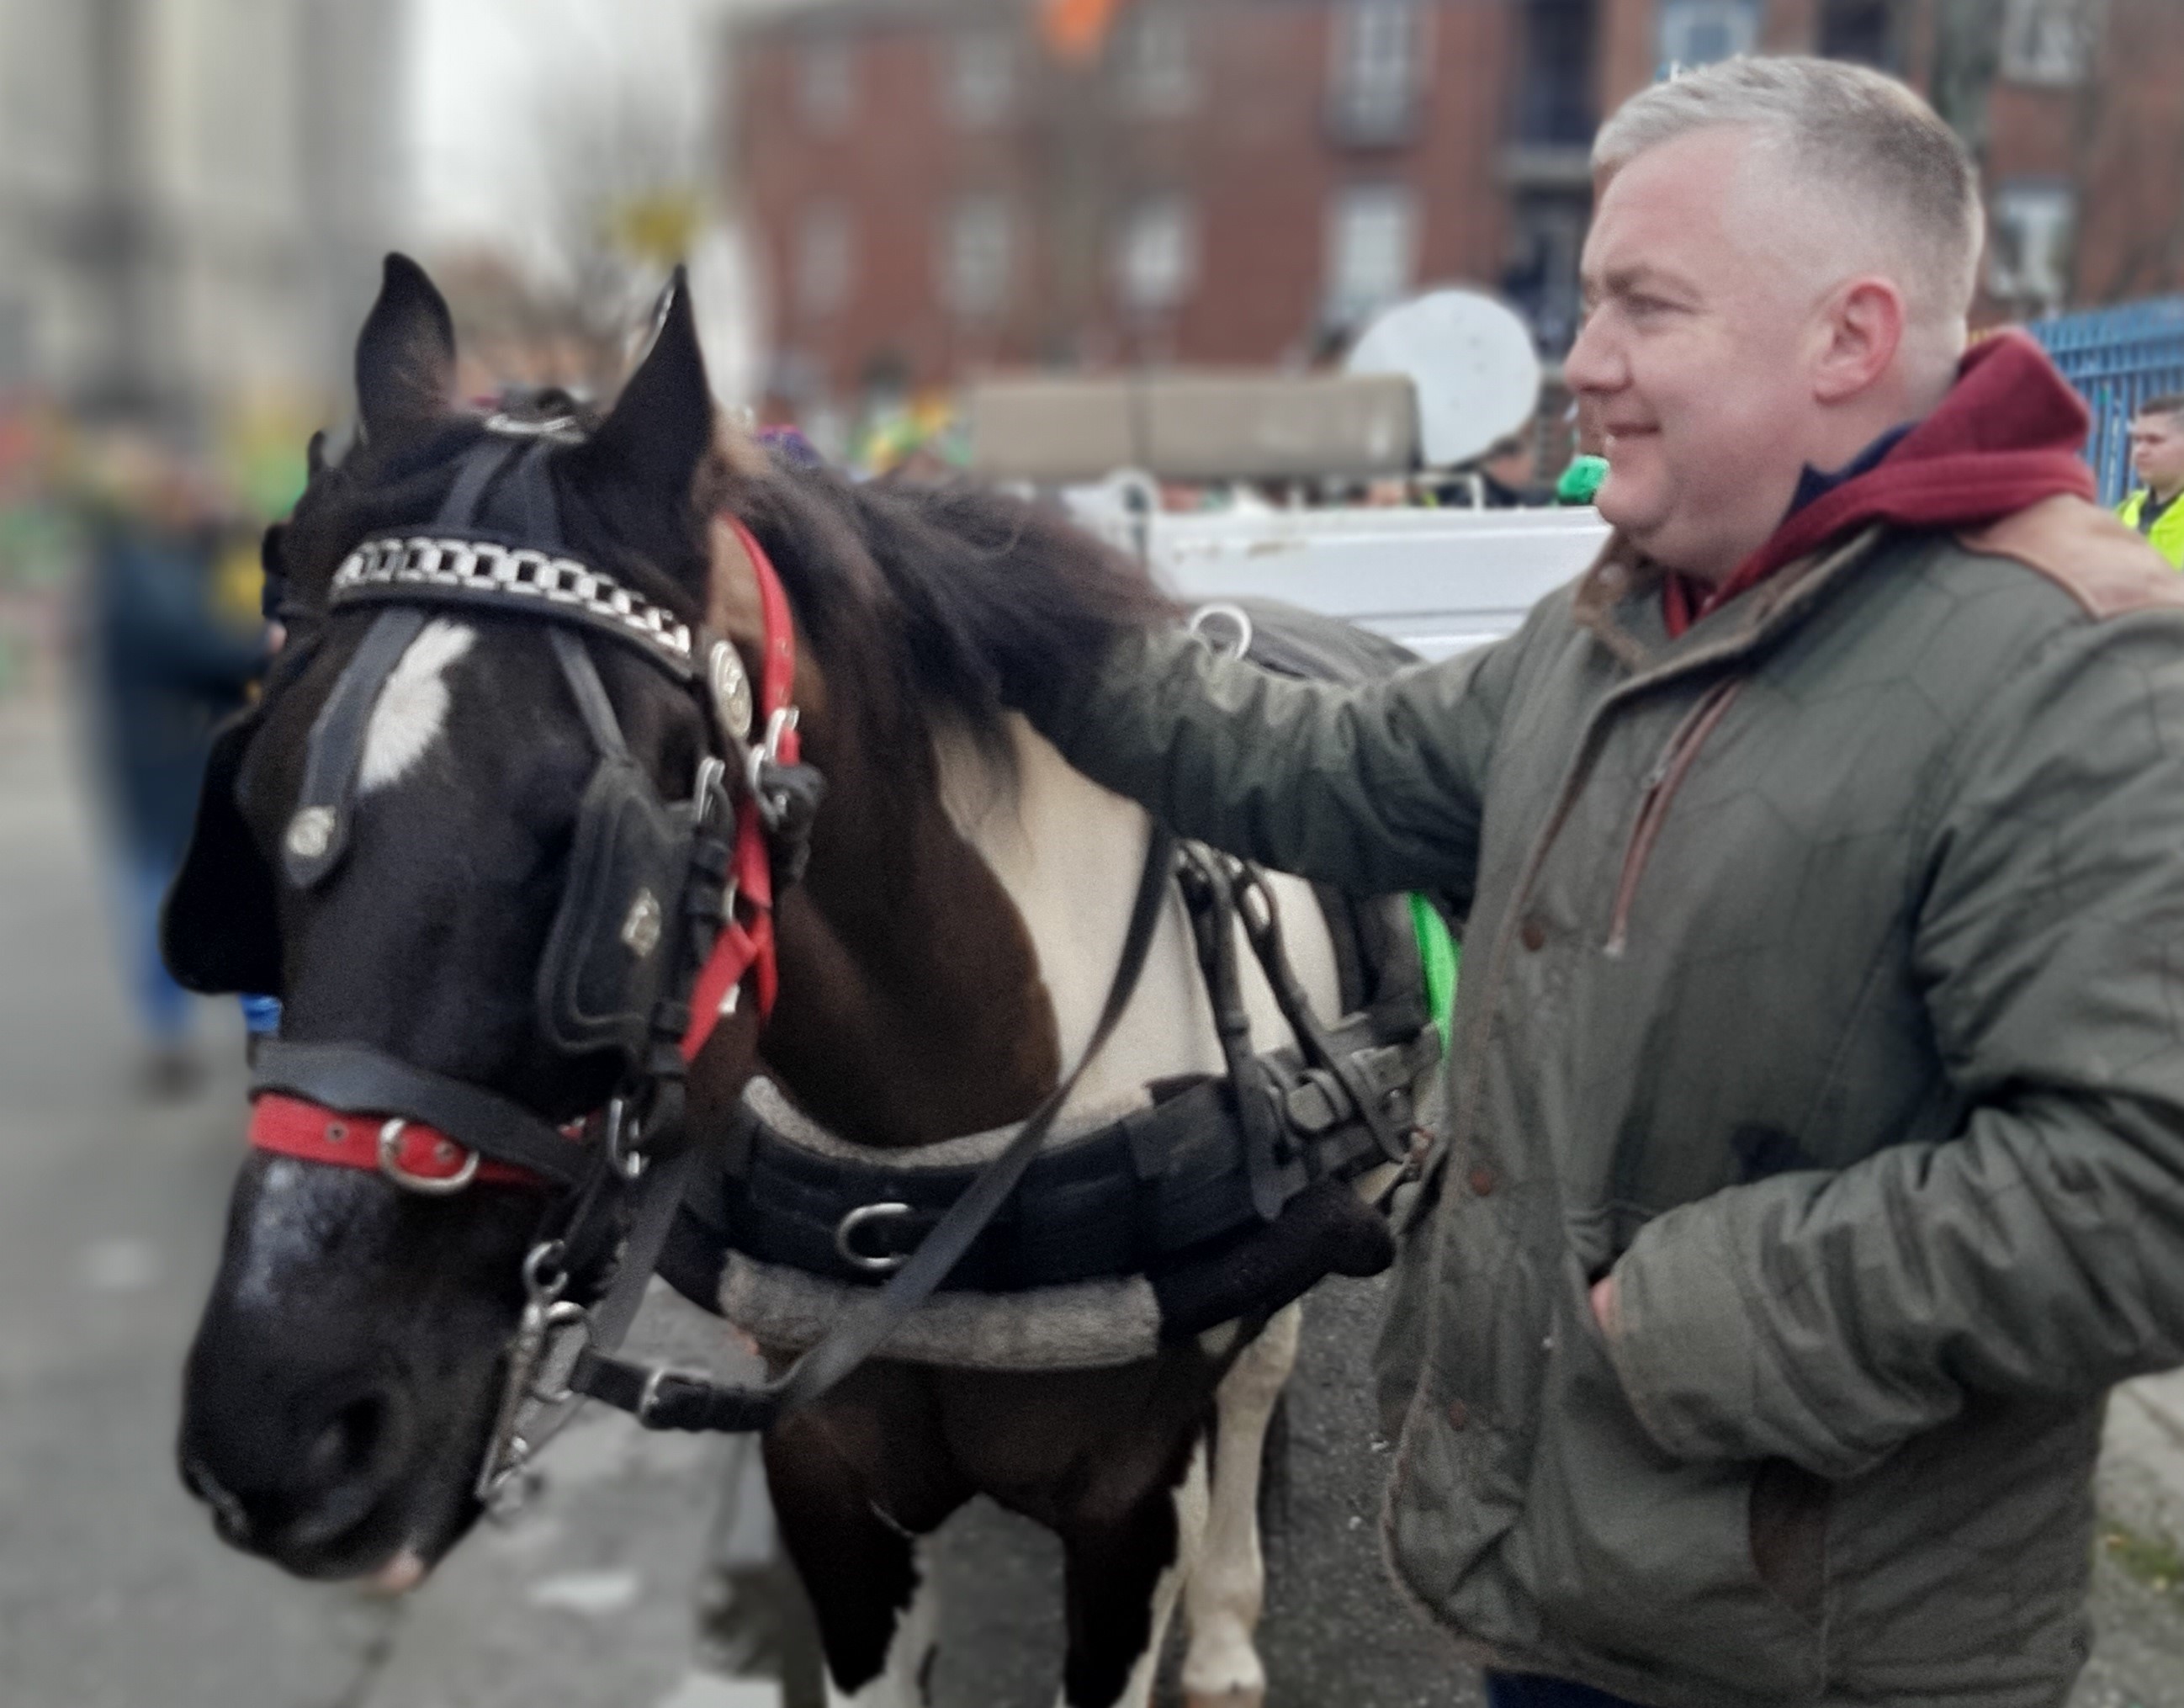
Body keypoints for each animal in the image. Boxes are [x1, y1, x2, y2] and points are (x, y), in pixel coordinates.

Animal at [174, 257, 1432, 1708]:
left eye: (587, 848)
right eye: (254, 810)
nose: (273, 1429)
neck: (939, 1146)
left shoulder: (1131, 1509)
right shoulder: (830, 1475)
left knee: (1261, 1368)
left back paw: (1226, 1633)